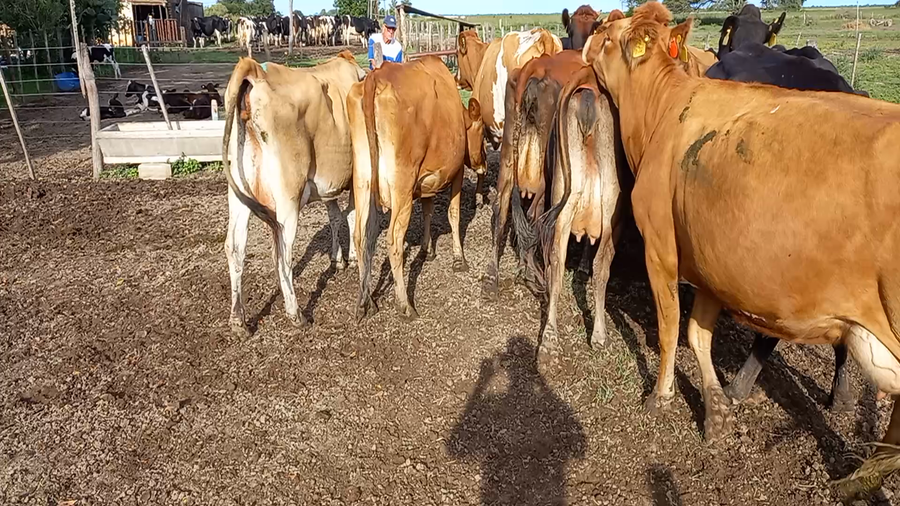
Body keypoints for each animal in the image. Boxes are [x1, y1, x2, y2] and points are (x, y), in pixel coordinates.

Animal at [221, 51, 365, 333]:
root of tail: (254, 69)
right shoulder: (354, 174)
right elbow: (352, 215)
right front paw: (352, 258)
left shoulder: (329, 183)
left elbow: (335, 216)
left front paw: (338, 259)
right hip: (288, 197)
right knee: (283, 253)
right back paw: (296, 314)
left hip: (239, 193)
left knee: (235, 247)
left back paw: (238, 320)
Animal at [348, 56, 486, 321]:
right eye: (482, 131)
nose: (482, 163)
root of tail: (377, 75)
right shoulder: (455, 172)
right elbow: (453, 214)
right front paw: (458, 258)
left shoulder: (425, 181)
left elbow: (429, 211)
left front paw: (425, 249)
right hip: (401, 185)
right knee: (394, 240)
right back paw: (404, 304)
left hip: (362, 180)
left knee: (360, 236)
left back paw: (366, 302)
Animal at [581, 1, 900, 496]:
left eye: (610, 36)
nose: (589, 36)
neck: (662, 110)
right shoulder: (712, 261)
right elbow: (699, 334)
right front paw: (716, 411)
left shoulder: (662, 248)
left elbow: (671, 327)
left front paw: (661, 395)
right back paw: (857, 479)